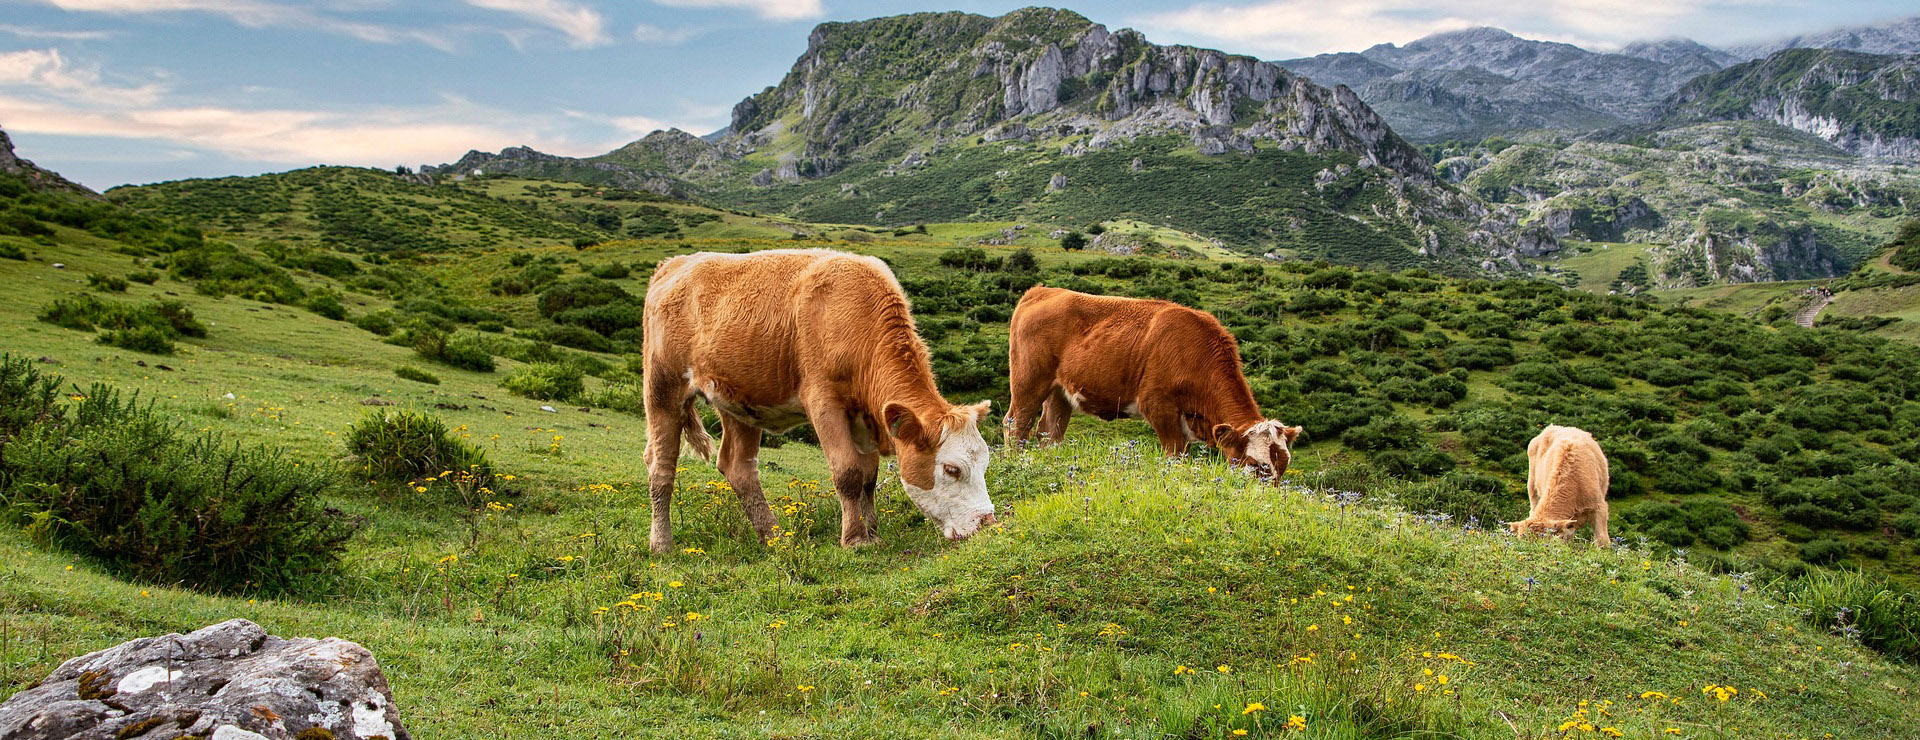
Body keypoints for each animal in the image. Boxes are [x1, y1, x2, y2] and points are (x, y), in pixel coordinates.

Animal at [641, 249, 997, 553]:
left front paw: (872, 532)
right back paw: (662, 544)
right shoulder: (823, 401)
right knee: (661, 465)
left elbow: (868, 476)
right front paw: (855, 539)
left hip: (739, 402)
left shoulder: (863, 416)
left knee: (738, 467)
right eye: (952, 469)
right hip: (662, 387)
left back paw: (774, 538)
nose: (987, 523)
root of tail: (674, 264)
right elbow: (848, 472)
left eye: (985, 463)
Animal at [1004, 285, 1302, 481]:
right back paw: (1016, 463)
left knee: (1049, 433)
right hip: (1028, 381)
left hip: (1059, 392)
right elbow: (1175, 454)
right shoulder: (1158, 405)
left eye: (1283, 466)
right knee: (1016, 425)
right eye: (1255, 465)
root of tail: (1042, 291)